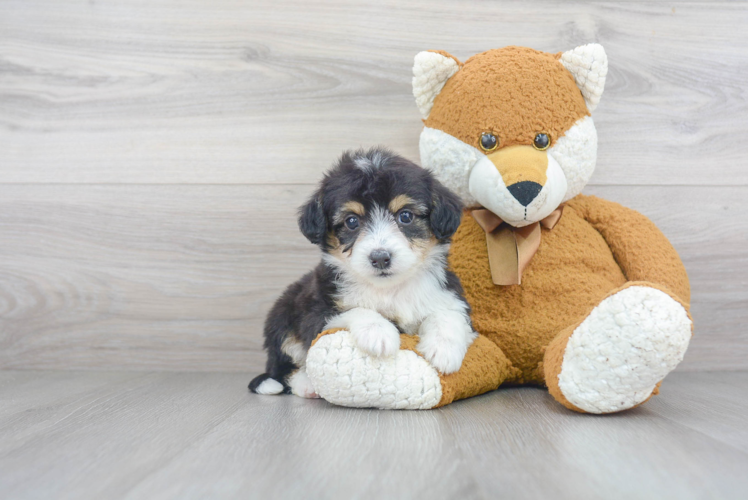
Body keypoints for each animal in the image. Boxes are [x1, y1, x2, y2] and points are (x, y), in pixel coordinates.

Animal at [248, 146, 476, 396]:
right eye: (351, 221)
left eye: (405, 216)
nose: (380, 258)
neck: (389, 289)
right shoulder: (317, 310)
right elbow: (354, 310)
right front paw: (379, 333)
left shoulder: (448, 294)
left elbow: (447, 314)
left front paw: (443, 350)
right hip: (282, 315)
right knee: (283, 366)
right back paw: (305, 384)